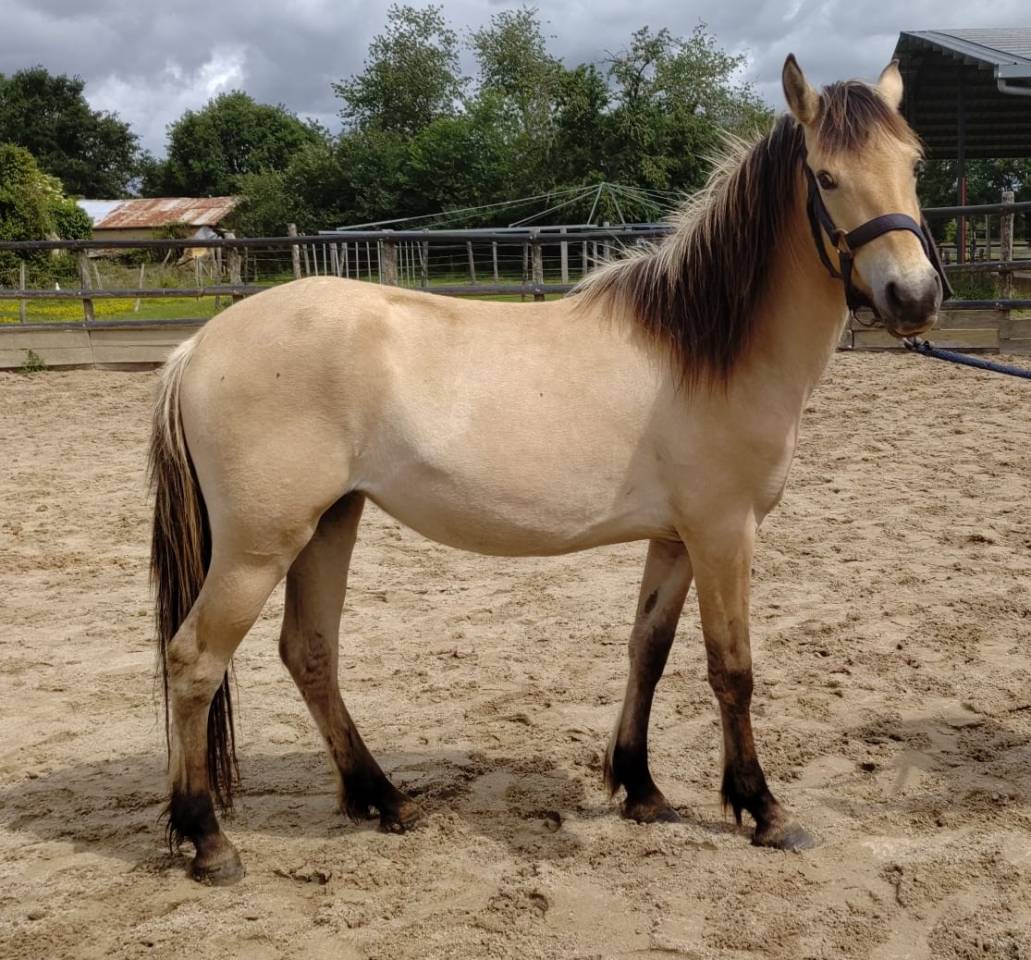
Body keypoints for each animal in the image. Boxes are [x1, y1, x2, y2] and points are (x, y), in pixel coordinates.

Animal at [148, 56, 946, 884]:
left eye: (912, 163)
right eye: (824, 177)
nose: (914, 297)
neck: (708, 349)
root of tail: (198, 348)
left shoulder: (675, 540)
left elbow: (647, 651)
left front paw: (640, 788)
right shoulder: (723, 535)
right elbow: (731, 668)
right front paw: (761, 809)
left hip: (330, 523)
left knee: (309, 653)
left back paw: (383, 799)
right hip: (258, 546)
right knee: (194, 661)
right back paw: (209, 840)